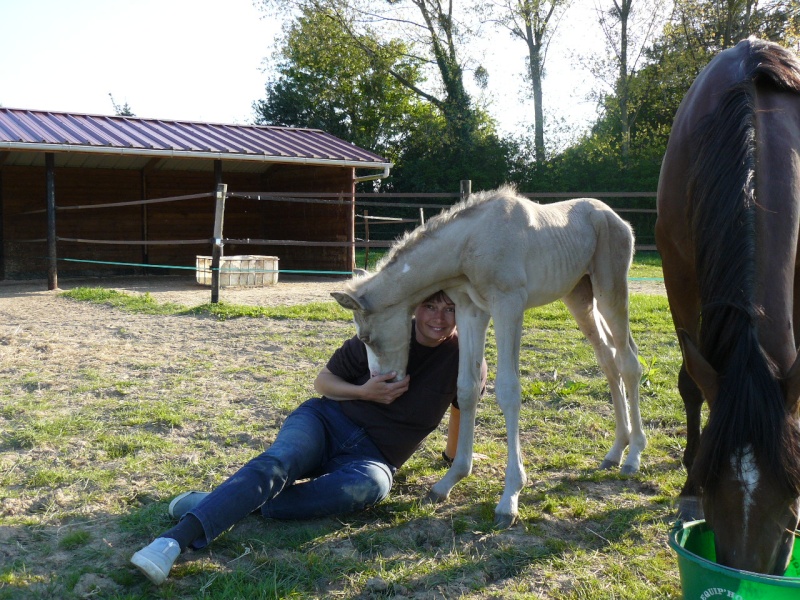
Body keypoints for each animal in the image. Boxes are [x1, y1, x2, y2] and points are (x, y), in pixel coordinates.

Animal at [332, 185, 644, 528]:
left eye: (366, 337)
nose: (383, 384)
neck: (468, 245)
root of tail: (617, 220)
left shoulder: (509, 304)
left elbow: (508, 390)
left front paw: (510, 499)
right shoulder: (470, 310)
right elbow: (466, 389)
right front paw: (448, 482)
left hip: (610, 289)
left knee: (629, 361)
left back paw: (633, 456)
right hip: (579, 295)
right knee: (608, 359)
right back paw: (615, 451)